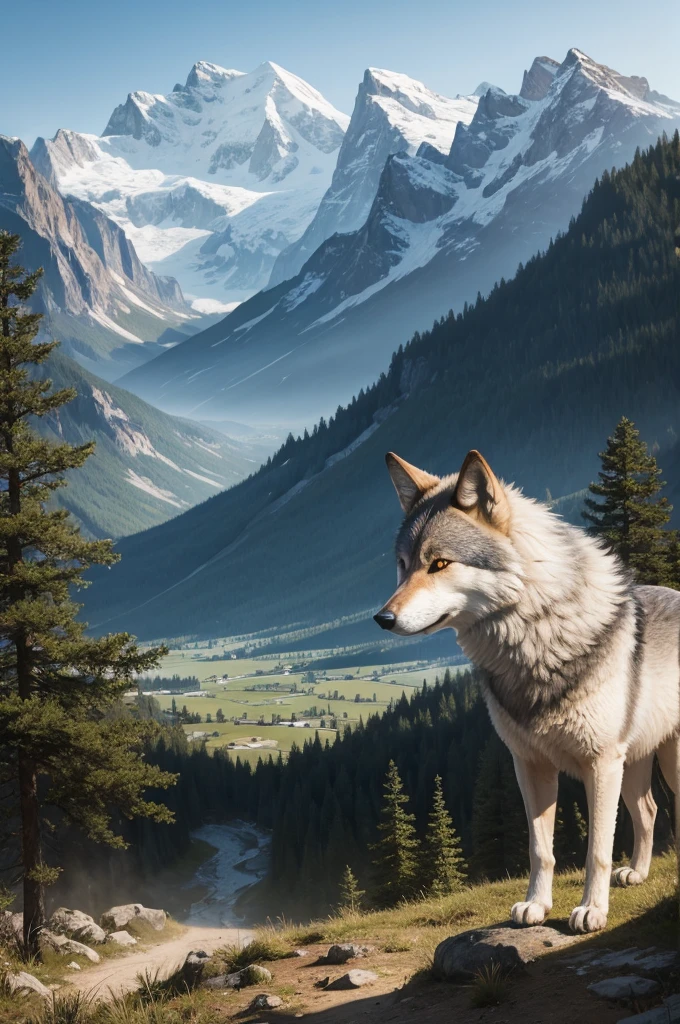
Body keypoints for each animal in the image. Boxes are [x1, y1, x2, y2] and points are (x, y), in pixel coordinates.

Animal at [374, 449, 680, 933]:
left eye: (439, 563)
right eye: (403, 565)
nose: (382, 619)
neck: (536, 642)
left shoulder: (599, 764)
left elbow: (595, 850)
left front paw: (592, 910)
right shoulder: (529, 765)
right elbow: (540, 848)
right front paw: (535, 906)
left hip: (664, 762)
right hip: (634, 765)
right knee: (648, 811)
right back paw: (636, 873)